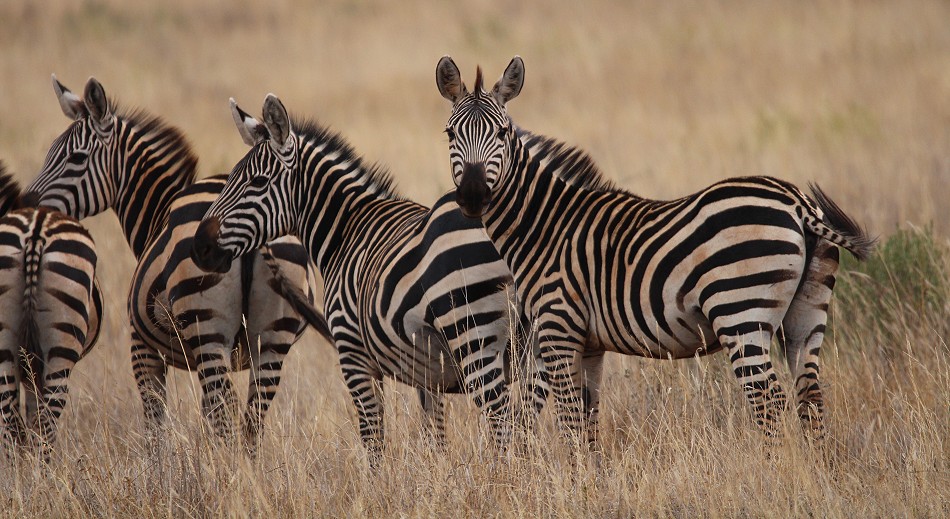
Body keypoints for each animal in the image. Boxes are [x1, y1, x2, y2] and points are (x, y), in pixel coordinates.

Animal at [25, 77, 334, 456]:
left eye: (76, 158)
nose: (25, 202)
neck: (159, 211)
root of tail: (256, 239)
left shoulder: (142, 348)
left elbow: (155, 422)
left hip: (206, 330)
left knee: (226, 412)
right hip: (272, 340)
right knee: (250, 420)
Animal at [192, 93, 552, 464]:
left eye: (258, 182)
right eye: (230, 180)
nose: (199, 247)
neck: (348, 230)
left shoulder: (353, 355)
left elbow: (374, 441)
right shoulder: (428, 371)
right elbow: (434, 435)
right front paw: (438, 472)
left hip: (473, 333)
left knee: (503, 425)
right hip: (539, 348)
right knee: (523, 427)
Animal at [438, 57, 876, 446]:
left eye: (501, 133)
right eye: (449, 134)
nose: (473, 195)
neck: (544, 223)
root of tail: (797, 203)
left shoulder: (557, 328)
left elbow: (568, 420)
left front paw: (574, 478)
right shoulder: (590, 343)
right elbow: (587, 418)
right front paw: (592, 479)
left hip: (740, 310)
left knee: (767, 399)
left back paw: (774, 473)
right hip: (807, 313)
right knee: (810, 396)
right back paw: (817, 474)